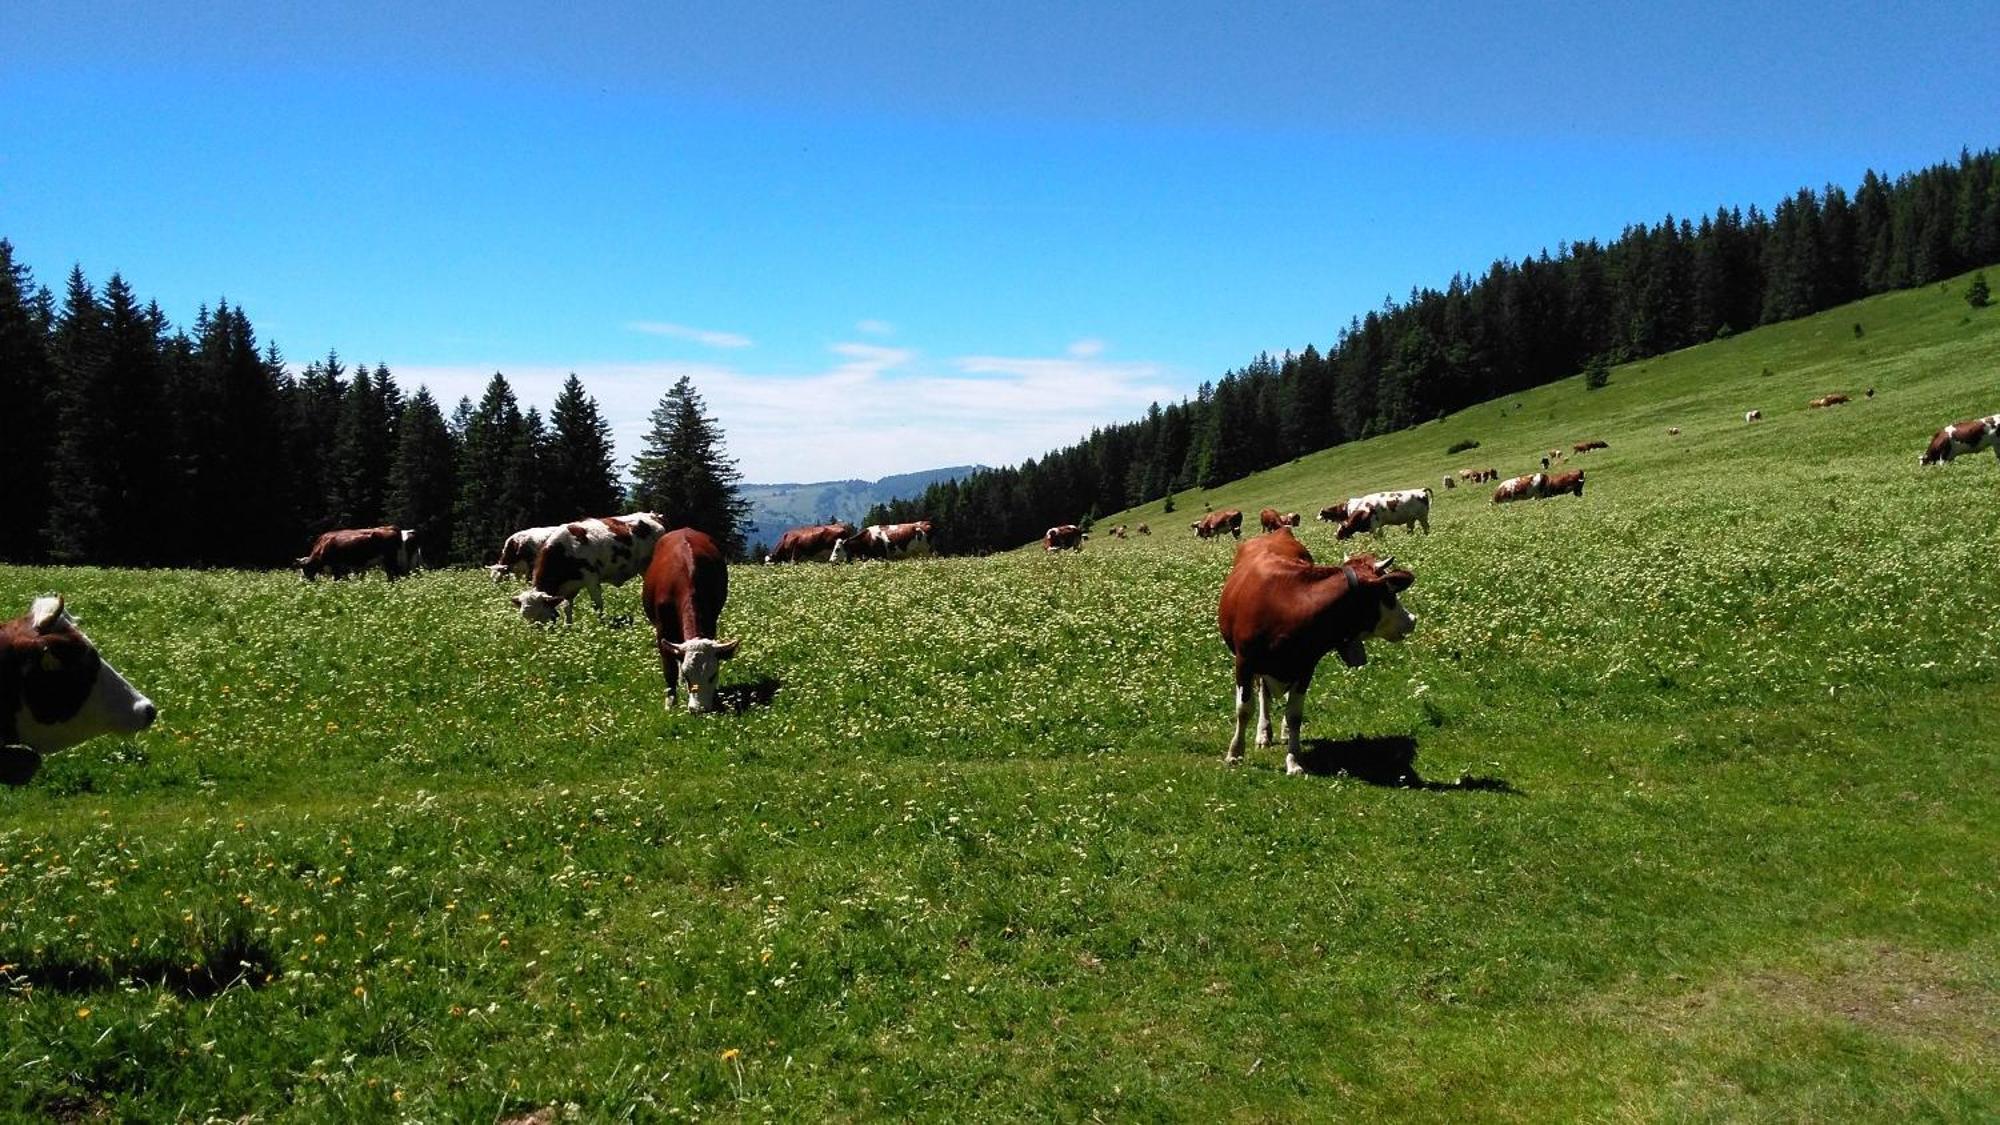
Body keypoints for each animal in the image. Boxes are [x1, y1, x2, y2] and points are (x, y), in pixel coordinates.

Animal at [512, 516, 668, 620]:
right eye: (525, 618)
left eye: (540, 615)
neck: (565, 551)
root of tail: (653, 515)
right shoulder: (569, 588)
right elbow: (567, 608)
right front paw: (568, 627)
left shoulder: (592, 580)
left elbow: (597, 605)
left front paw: (600, 626)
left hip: (646, 566)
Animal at [640, 524, 744, 708]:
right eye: (689, 676)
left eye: (713, 675)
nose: (699, 709)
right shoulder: (662, 629)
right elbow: (669, 668)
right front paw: (670, 701)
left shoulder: (711, 620)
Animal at [1208, 528, 1416, 776]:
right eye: (1390, 595)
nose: (1412, 620)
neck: (1289, 605)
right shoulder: (1244, 663)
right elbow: (1244, 709)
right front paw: (1235, 753)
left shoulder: (1306, 666)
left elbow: (1294, 715)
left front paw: (1294, 760)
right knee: (1263, 694)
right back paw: (1263, 733)